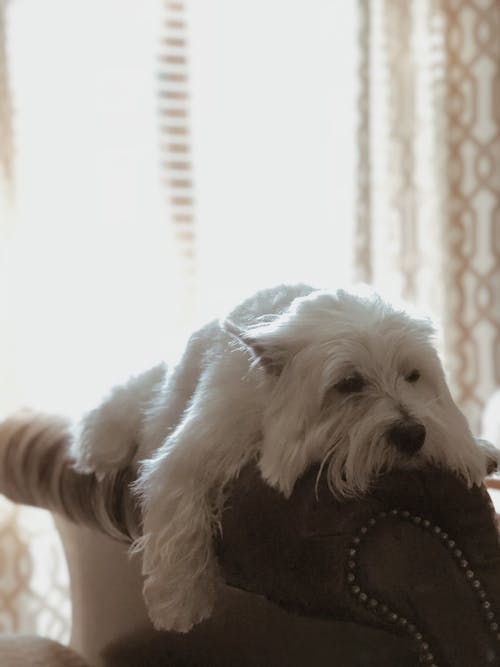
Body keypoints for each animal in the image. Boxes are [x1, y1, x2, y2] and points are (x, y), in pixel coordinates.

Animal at [72, 284, 498, 636]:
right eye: (348, 383)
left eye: (412, 375)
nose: (413, 436)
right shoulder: (195, 450)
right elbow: (179, 517)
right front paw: (179, 601)